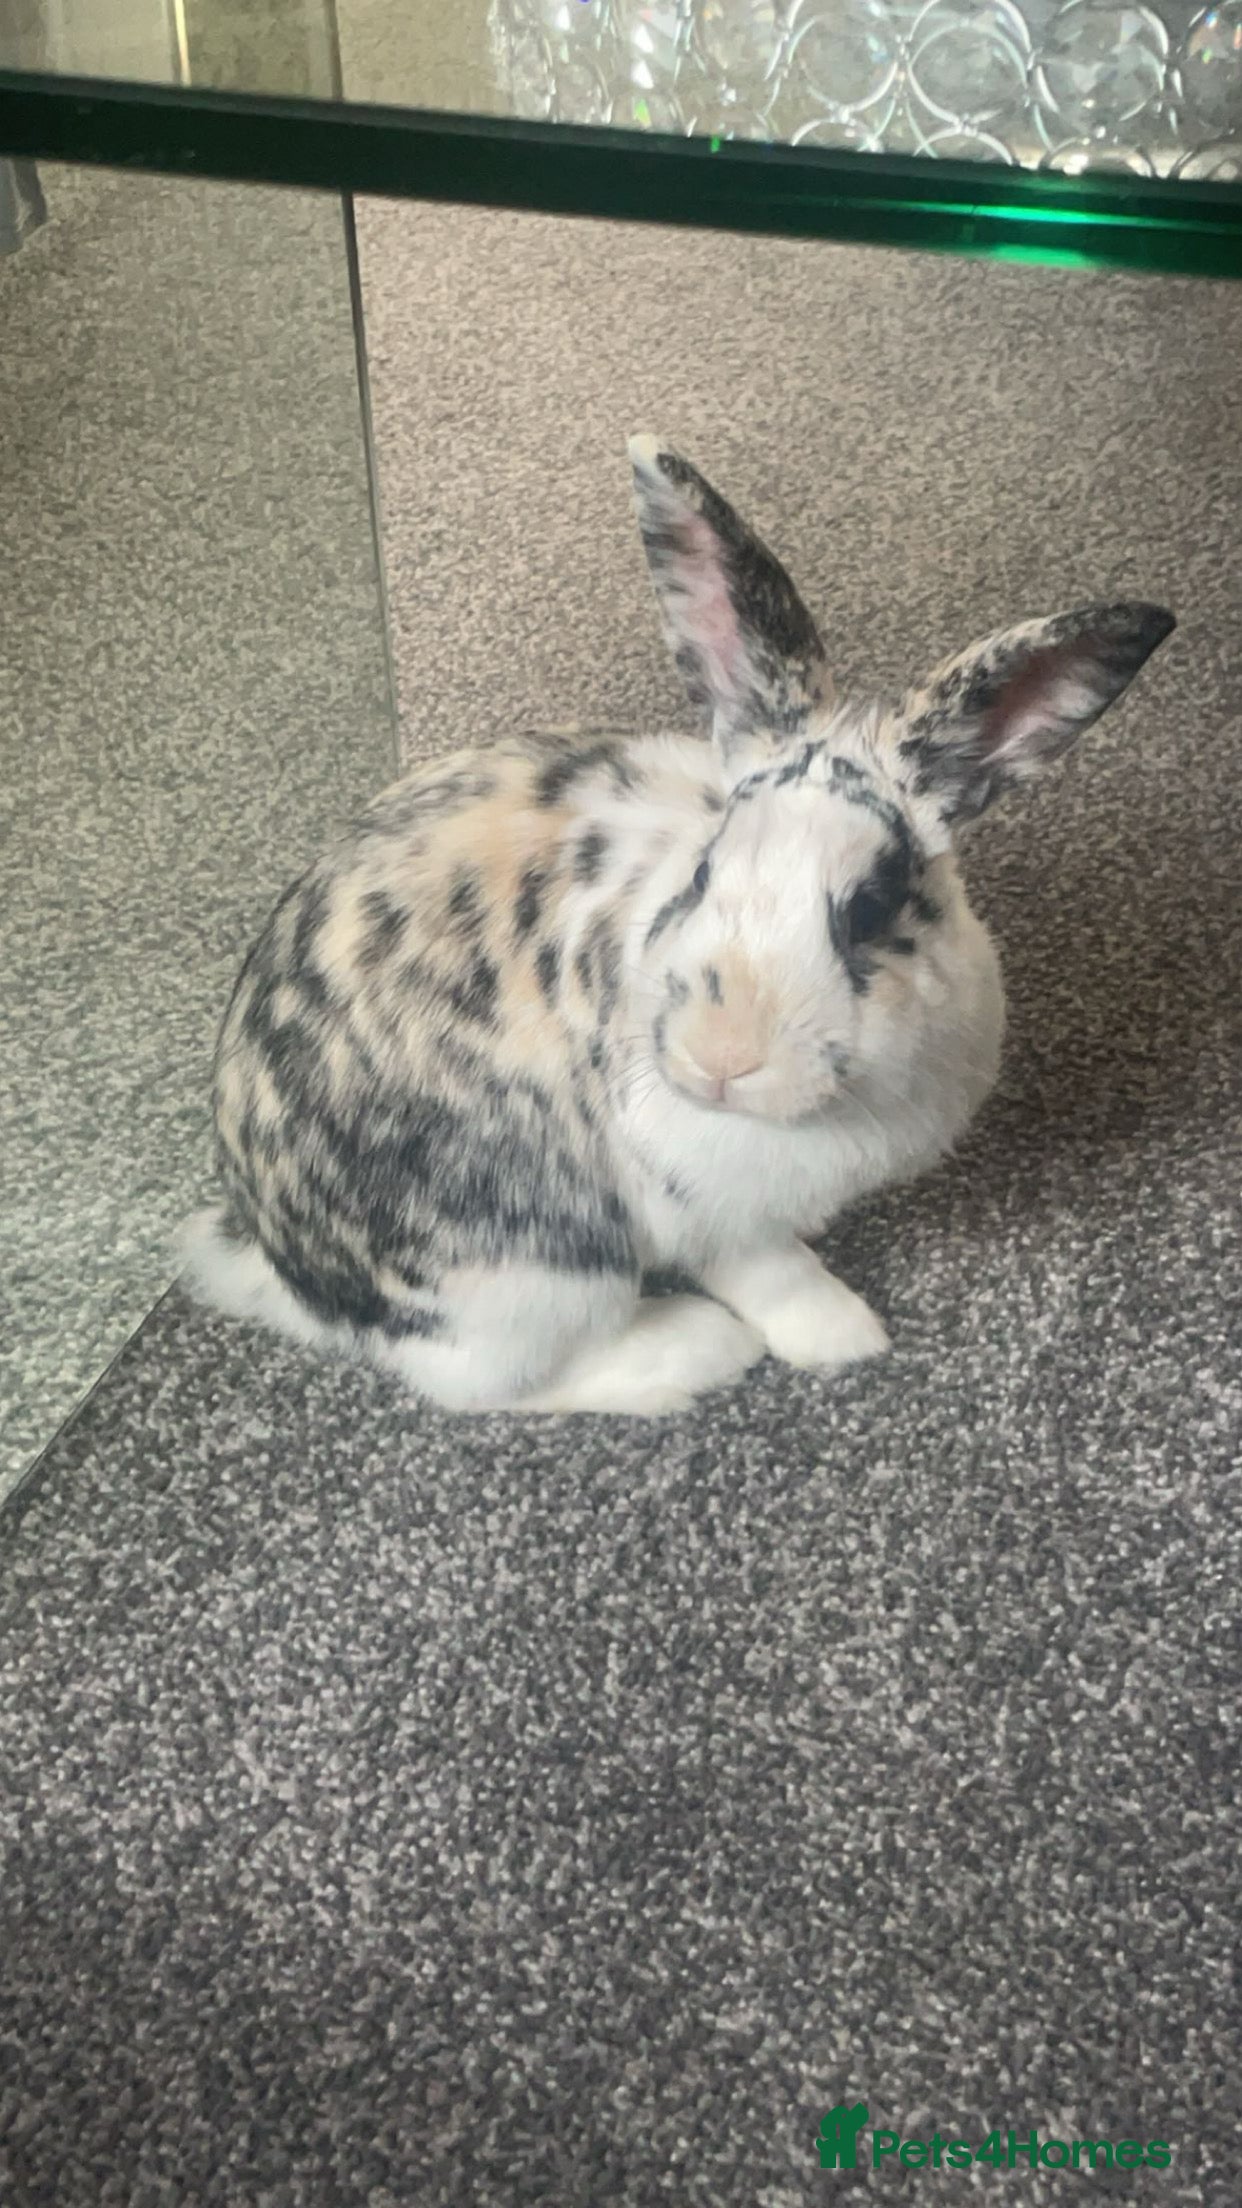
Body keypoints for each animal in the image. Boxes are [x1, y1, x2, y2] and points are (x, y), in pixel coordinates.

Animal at [180, 435, 1174, 1417]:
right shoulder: (710, 1213)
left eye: (871, 906)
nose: (721, 1058)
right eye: (705, 872)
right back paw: (697, 1349)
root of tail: (291, 1273)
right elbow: (773, 1274)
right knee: (491, 1383)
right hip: (538, 1274)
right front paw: (847, 1337)